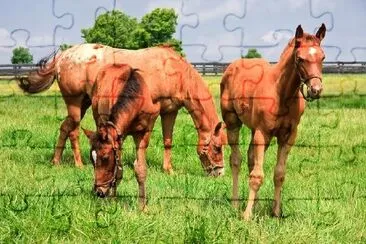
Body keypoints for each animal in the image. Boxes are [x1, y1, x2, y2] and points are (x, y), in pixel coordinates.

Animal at [19, 43, 226, 176]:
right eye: (217, 147)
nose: (220, 172)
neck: (172, 70)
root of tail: (63, 56)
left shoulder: (169, 111)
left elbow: (168, 141)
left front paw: (169, 170)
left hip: (85, 103)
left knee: (64, 127)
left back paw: (56, 161)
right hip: (75, 103)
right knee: (73, 131)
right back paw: (78, 164)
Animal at [82, 63, 159, 207]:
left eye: (105, 157)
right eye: (91, 159)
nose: (99, 192)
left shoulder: (144, 132)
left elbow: (140, 168)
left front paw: (142, 207)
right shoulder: (118, 135)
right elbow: (118, 170)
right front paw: (113, 201)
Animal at [220, 23, 326, 220]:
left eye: (323, 57)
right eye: (300, 58)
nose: (316, 90)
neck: (281, 93)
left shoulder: (288, 136)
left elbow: (279, 174)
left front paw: (276, 212)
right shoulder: (263, 133)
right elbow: (257, 176)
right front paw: (246, 215)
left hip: (255, 130)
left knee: (251, 159)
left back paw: (256, 204)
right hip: (233, 122)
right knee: (236, 160)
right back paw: (236, 204)